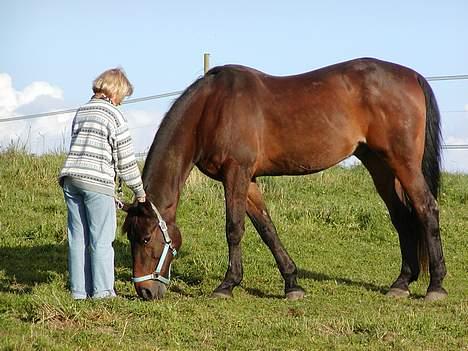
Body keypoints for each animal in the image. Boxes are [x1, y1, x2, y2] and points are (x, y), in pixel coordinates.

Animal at [122, 57, 448, 302]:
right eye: (130, 237)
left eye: (146, 237)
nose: (145, 292)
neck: (211, 109)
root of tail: (412, 76)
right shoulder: (249, 179)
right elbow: (267, 229)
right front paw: (292, 283)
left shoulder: (236, 173)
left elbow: (234, 228)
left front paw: (227, 285)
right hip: (379, 165)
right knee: (402, 217)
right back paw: (401, 283)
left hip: (403, 163)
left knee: (426, 208)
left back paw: (436, 286)